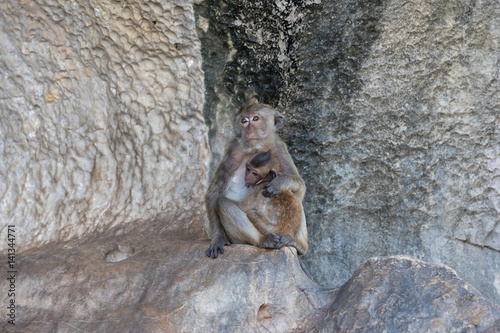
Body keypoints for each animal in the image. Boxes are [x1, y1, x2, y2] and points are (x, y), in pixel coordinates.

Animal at [205, 97, 306, 258]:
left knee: (294, 195)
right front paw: (218, 238)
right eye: (244, 121)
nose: (249, 130)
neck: (257, 148)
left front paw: (280, 182)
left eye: (256, 119)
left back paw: (298, 245)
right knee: (222, 203)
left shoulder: (280, 148)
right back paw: (264, 240)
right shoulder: (233, 150)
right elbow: (214, 194)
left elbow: (300, 189)